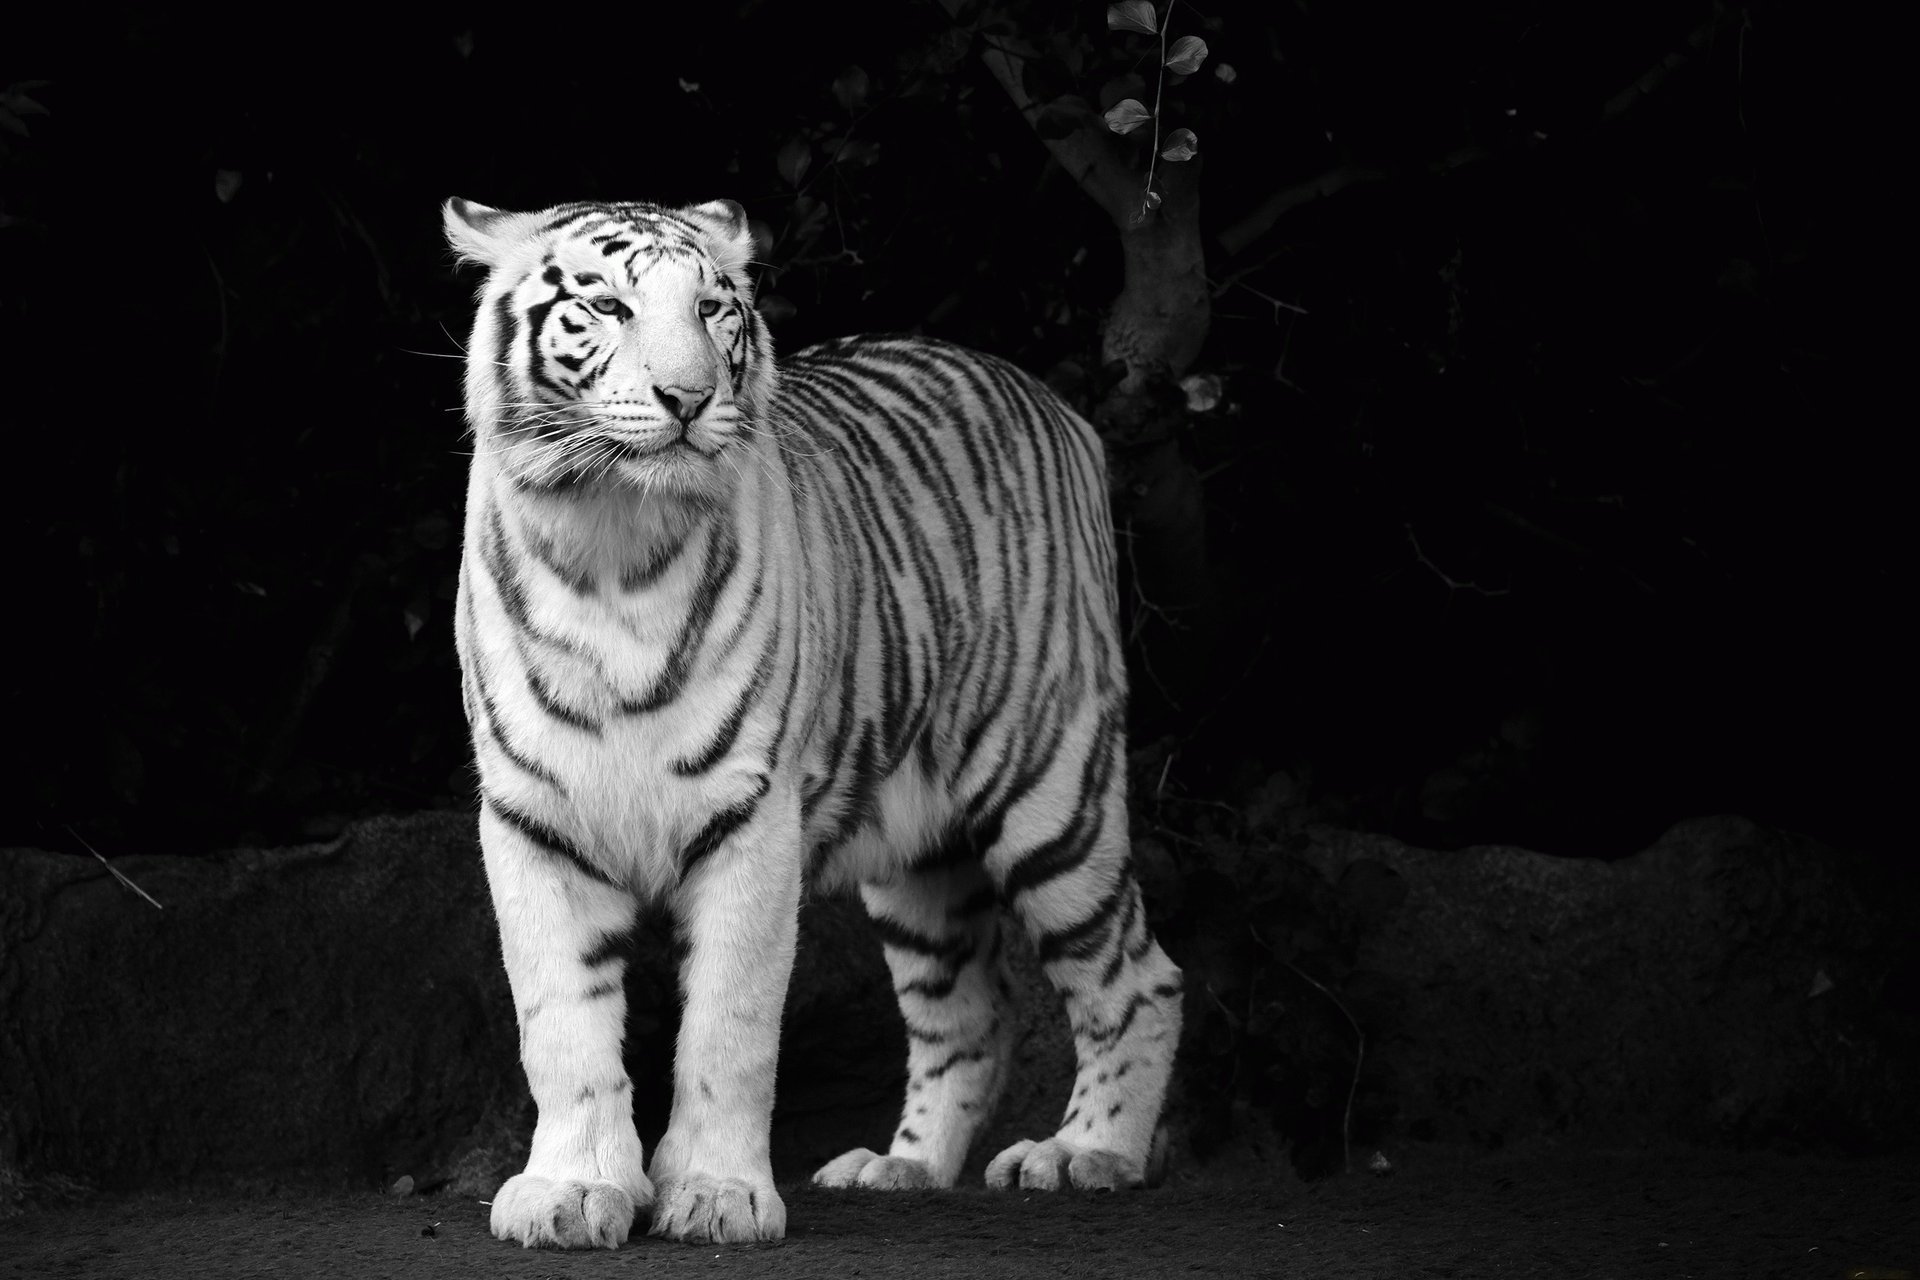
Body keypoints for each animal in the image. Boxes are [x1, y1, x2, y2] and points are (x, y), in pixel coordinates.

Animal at [443, 195, 1184, 1250]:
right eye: (608, 306)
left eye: (713, 309)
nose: (687, 397)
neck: (612, 544)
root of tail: (1050, 400)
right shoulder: (531, 819)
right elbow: (561, 1024)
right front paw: (571, 1191)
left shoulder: (751, 815)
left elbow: (730, 1024)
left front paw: (716, 1194)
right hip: (919, 857)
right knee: (970, 1015)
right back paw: (901, 1167)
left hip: (1052, 792)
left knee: (1139, 977)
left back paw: (1085, 1153)